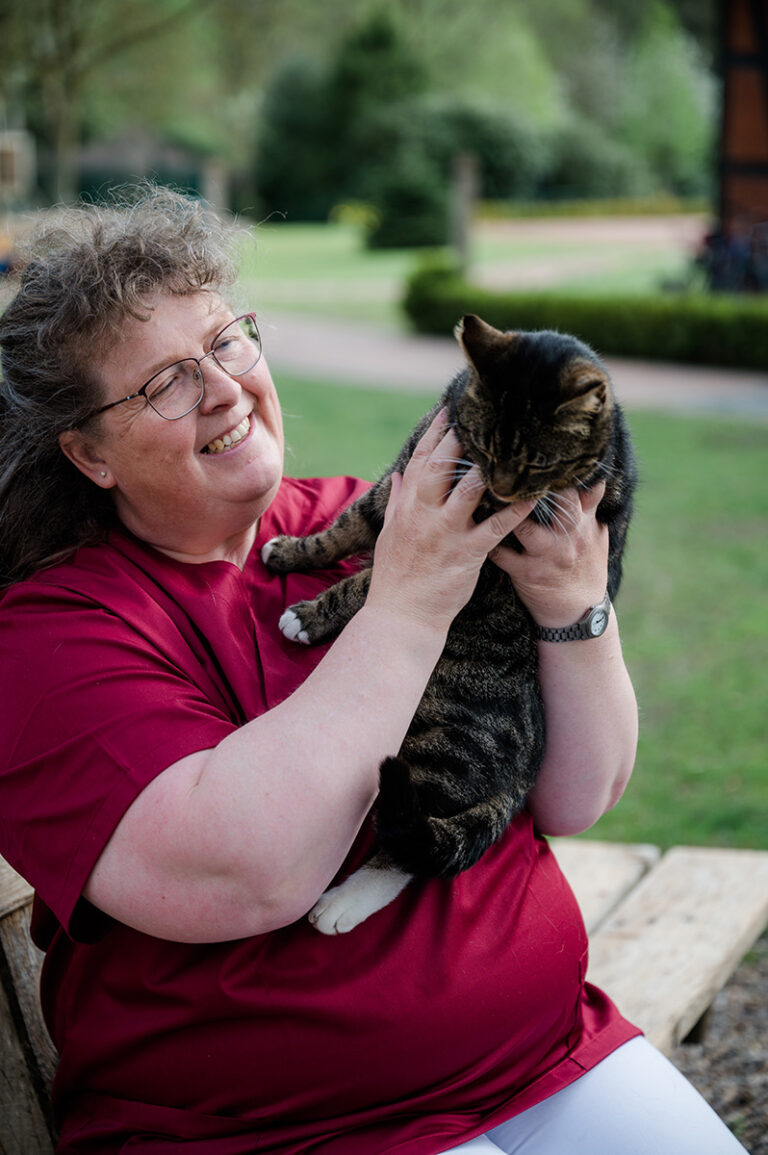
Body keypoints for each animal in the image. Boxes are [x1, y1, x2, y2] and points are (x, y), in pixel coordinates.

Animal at [263, 311, 632, 933]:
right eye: (483, 444)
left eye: (540, 463)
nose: (501, 491)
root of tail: (523, 774)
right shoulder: (400, 480)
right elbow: (346, 525)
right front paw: (290, 551)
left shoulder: (474, 561)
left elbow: (370, 584)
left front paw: (308, 616)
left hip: (434, 752)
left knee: (409, 849)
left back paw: (344, 903)